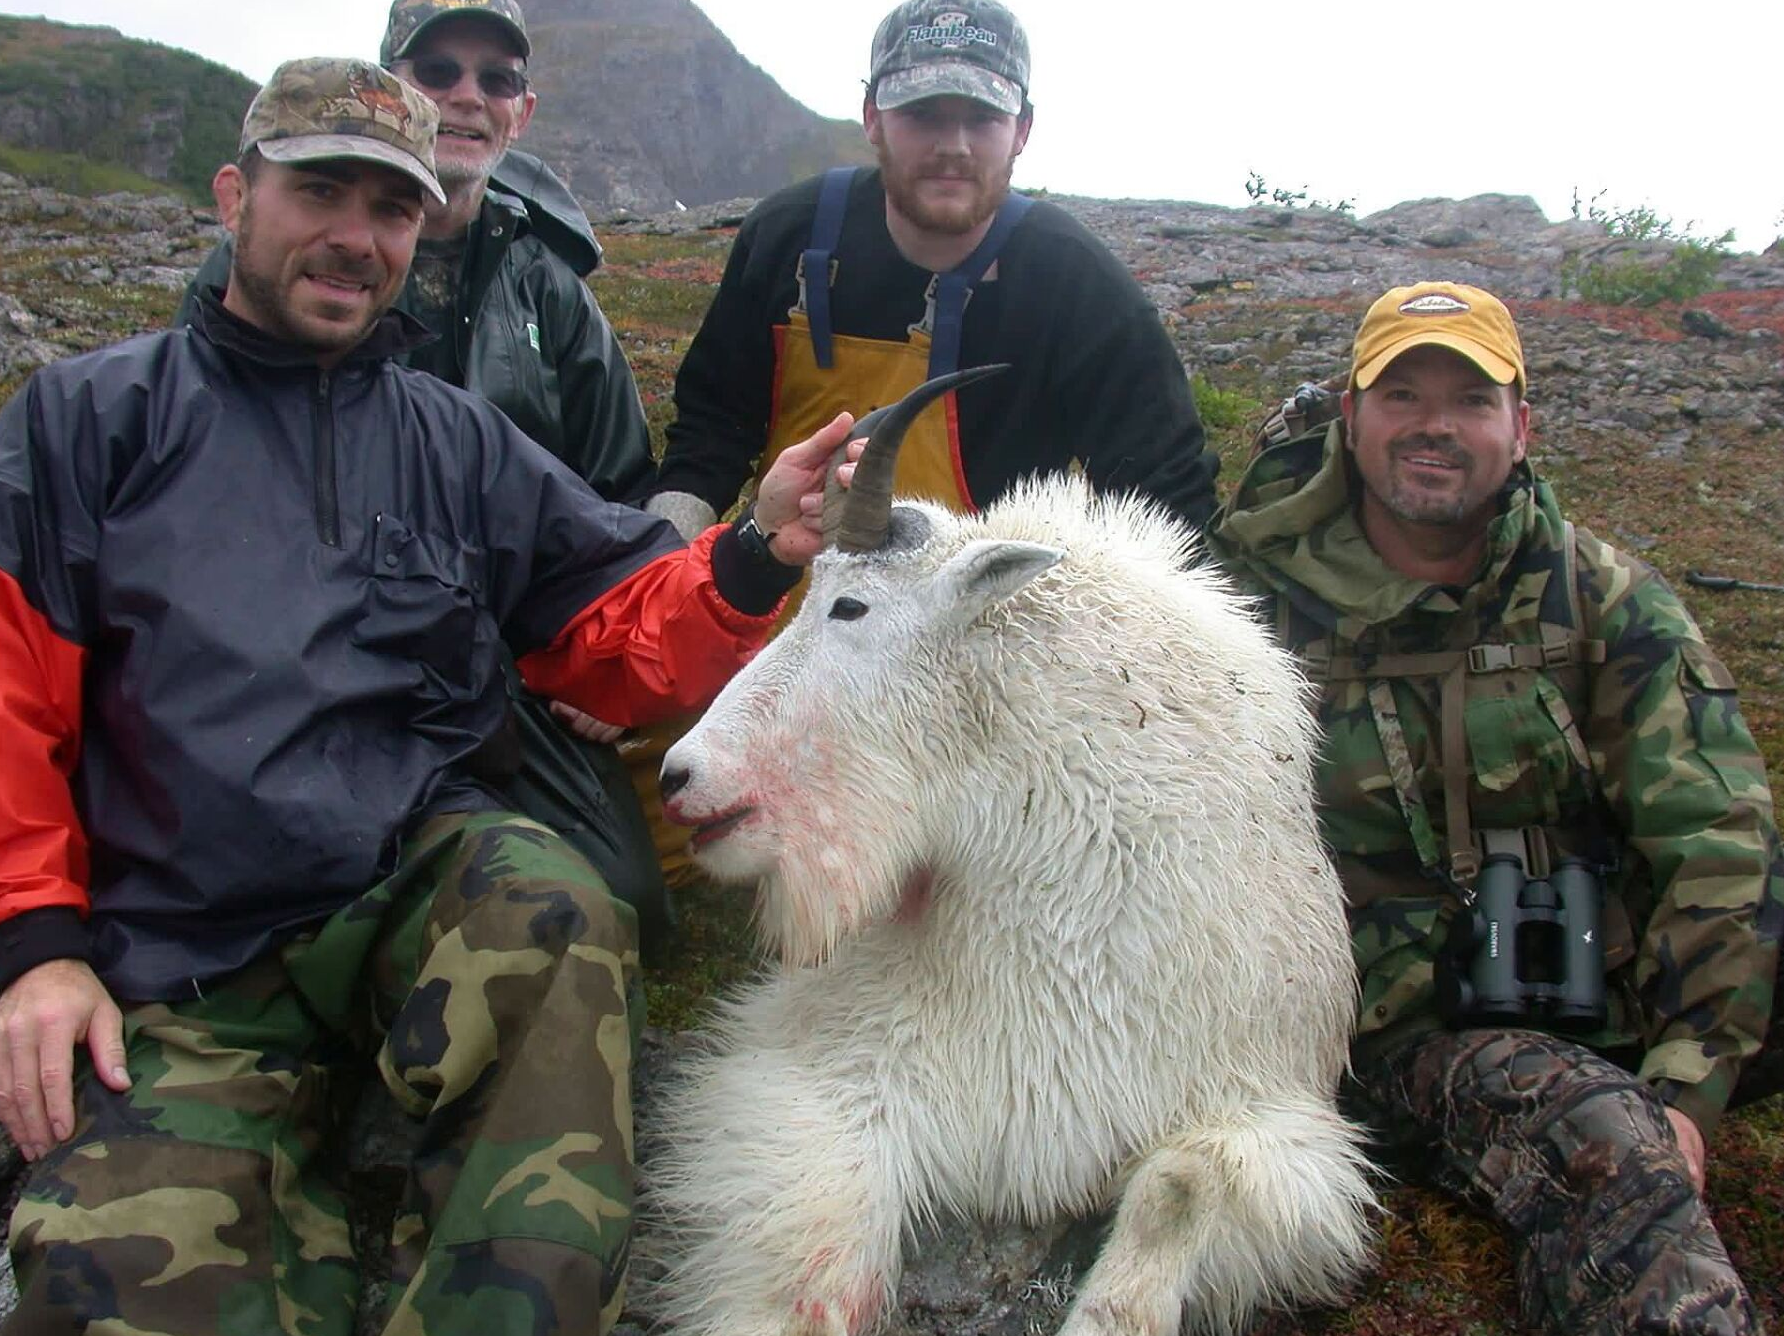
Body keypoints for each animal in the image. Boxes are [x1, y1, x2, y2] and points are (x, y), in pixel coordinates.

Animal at [649, 371, 1376, 1336]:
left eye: (850, 605)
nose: (681, 775)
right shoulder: (845, 1066)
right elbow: (815, 1257)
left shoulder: (1268, 1113)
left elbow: (1179, 1186)